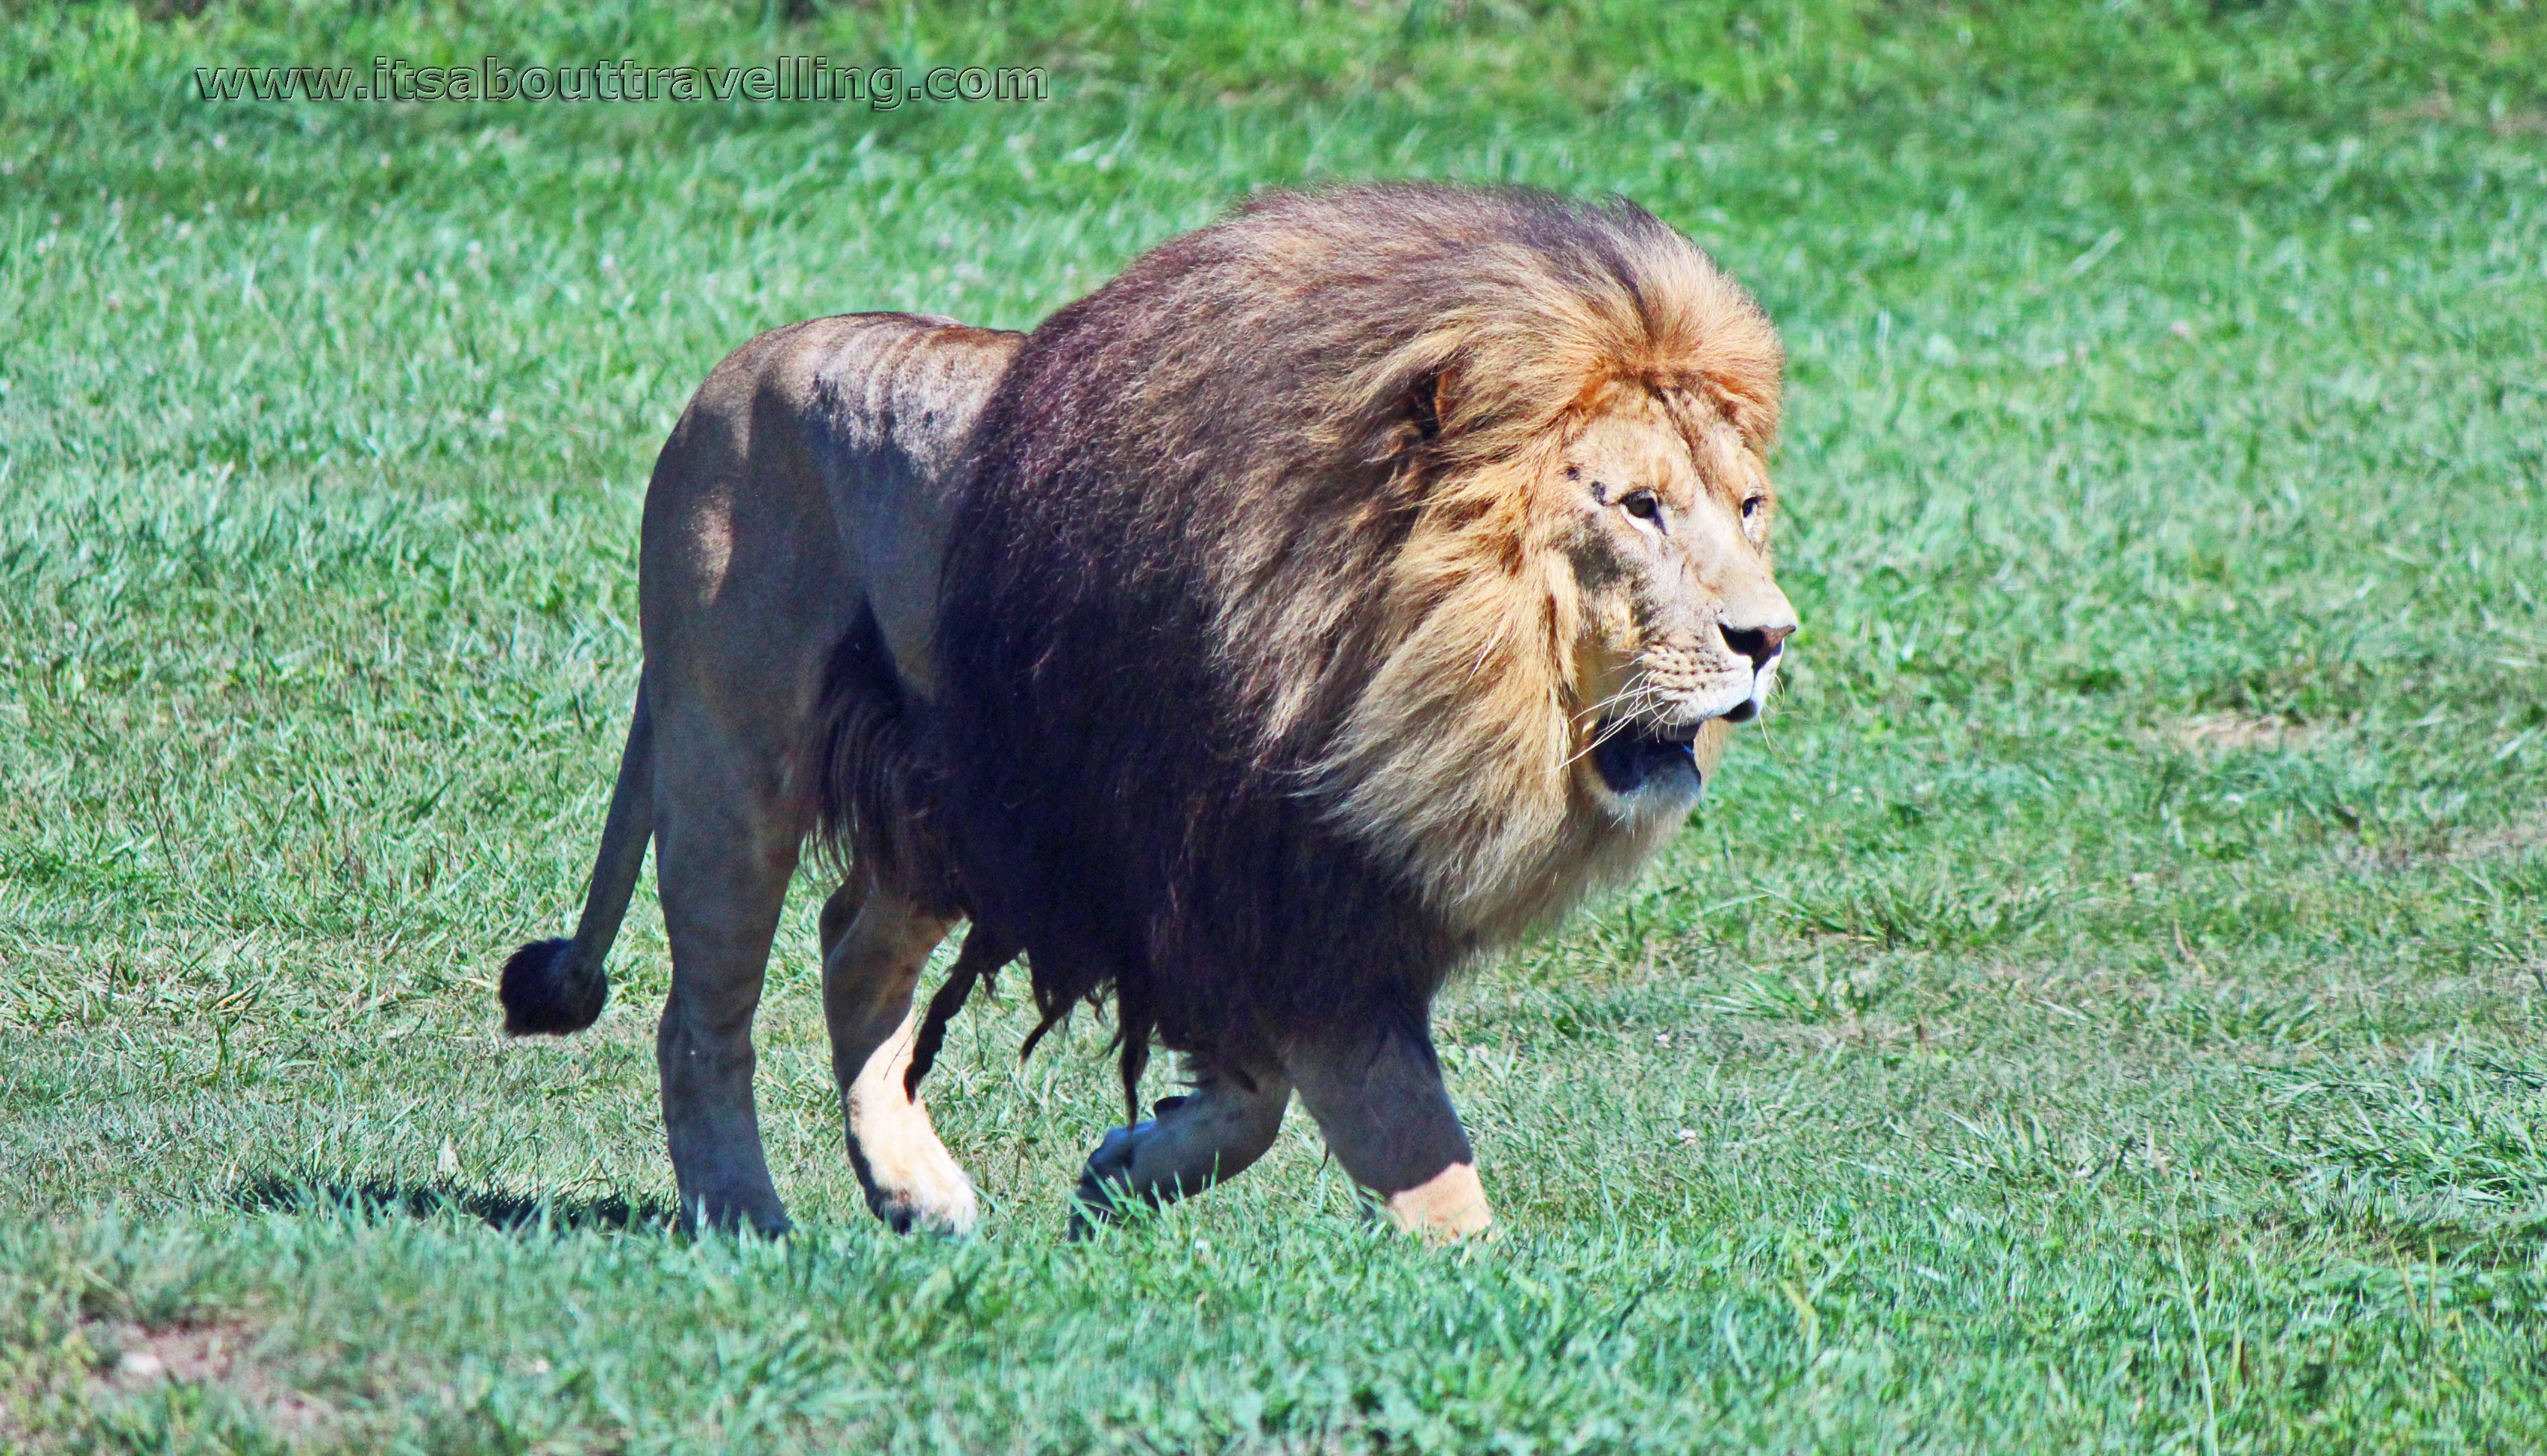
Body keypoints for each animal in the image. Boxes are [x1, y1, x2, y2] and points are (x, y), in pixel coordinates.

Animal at [507, 177, 1803, 1231]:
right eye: (1637, 507)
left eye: (1746, 508)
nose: (1769, 638)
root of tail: (719, 381)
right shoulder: (1250, 885)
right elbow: (1413, 1146)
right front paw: (1483, 1286)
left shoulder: (1273, 898)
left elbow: (1267, 1097)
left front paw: (1127, 1167)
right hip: (732, 768)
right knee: (701, 1020)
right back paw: (744, 1216)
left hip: (956, 796)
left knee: (850, 948)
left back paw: (915, 1192)